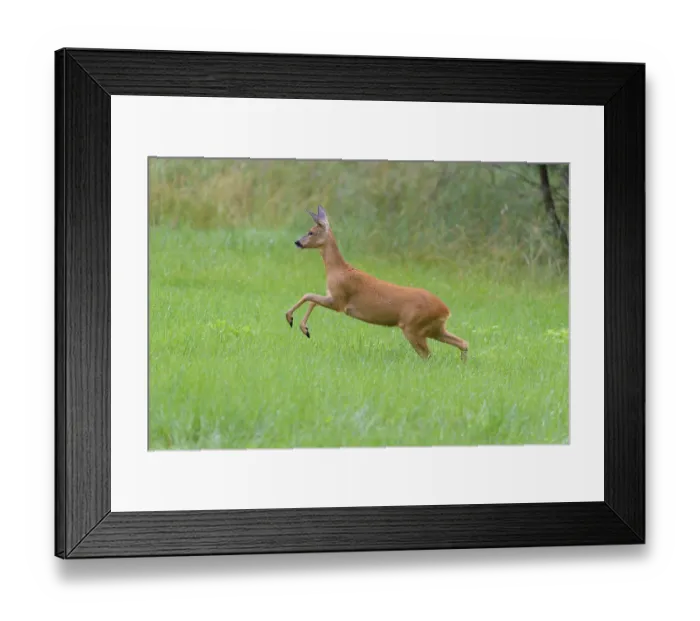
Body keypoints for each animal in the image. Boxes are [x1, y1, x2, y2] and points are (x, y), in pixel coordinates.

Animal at [285, 205, 469, 361]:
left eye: (311, 232)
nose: (297, 242)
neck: (338, 270)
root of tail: (446, 311)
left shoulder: (340, 301)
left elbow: (308, 296)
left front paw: (292, 320)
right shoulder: (333, 297)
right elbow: (312, 300)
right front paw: (304, 328)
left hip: (413, 327)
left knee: (428, 355)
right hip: (434, 328)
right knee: (463, 343)